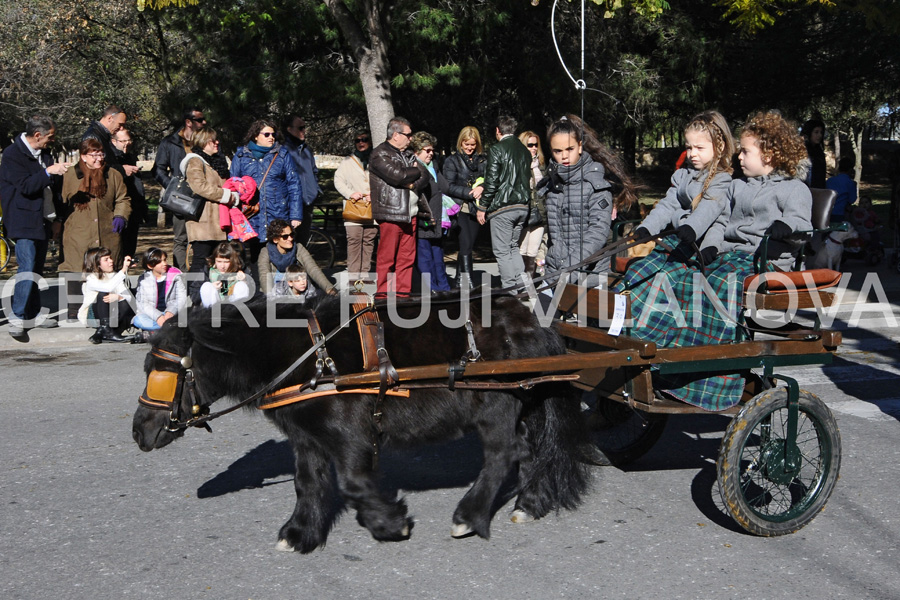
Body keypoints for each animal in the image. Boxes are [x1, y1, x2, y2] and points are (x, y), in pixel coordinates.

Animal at [130, 292, 588, 552]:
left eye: (161, 371)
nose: (138, 432)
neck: (308, 356)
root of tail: (532, 322)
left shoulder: (349, 434)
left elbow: (352, 483)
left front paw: (390, 524)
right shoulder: (307, 438)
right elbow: (308, 484)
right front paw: (299, 534)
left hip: (497, 406)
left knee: (503, 454)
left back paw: (468, 516)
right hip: (525, 403)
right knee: (530, 451)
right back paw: (529, 504)